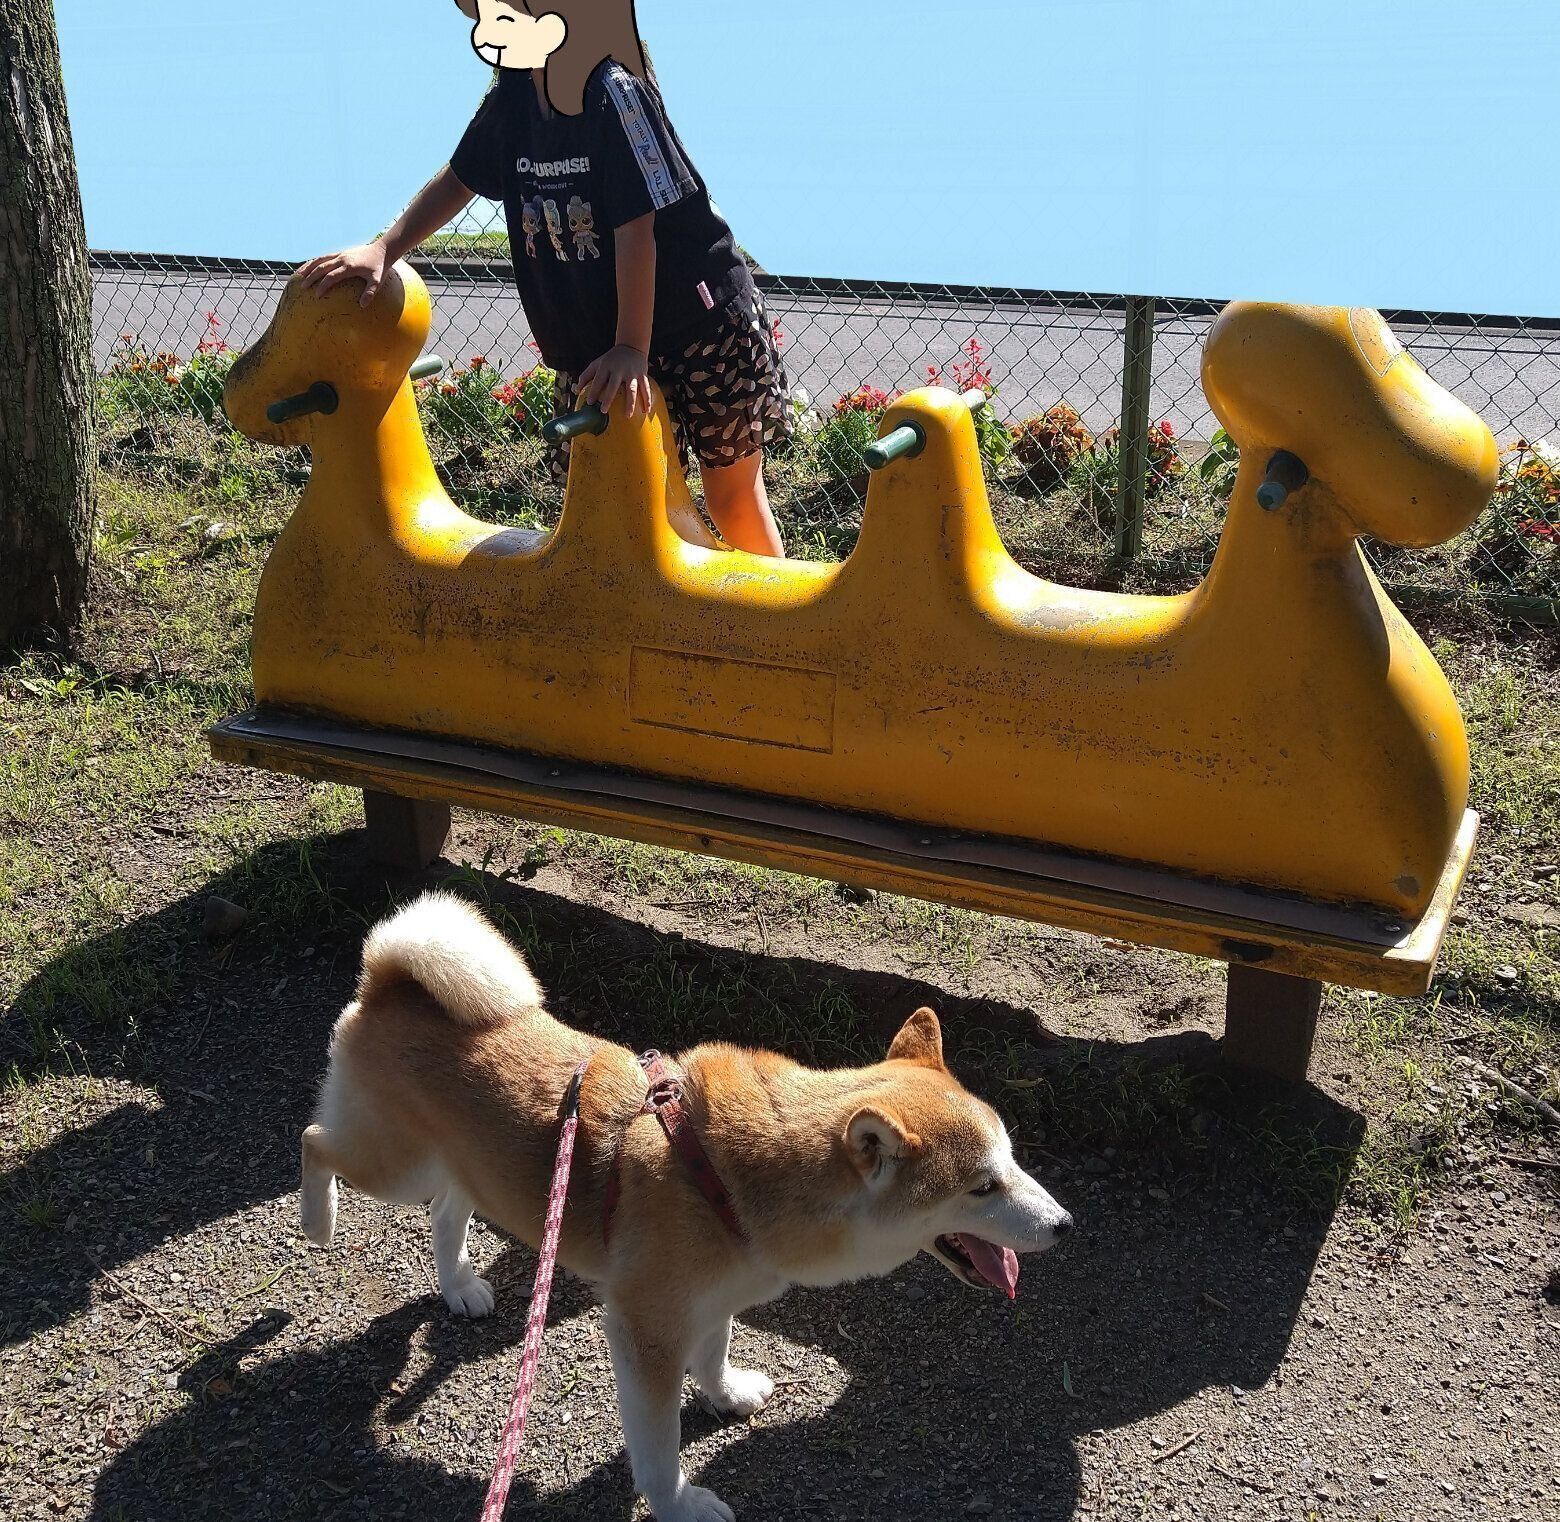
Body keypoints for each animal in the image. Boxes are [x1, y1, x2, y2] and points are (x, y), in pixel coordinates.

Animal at [301, 892, 1074, 1521]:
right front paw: (678, 1503)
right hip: (393, 1164)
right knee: (315, 1143)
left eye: (1012, 1160)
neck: (731, 1178)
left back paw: (459, 1285)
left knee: (445, 1210)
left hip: (458, 1164)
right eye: (982, 1186)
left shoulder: (713, 1299)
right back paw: (318, 1220)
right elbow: (658, 1447)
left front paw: (725, 1394)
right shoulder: (645, 1334)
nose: (1066, 1226)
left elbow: (716, 1353)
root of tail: (388, 976)